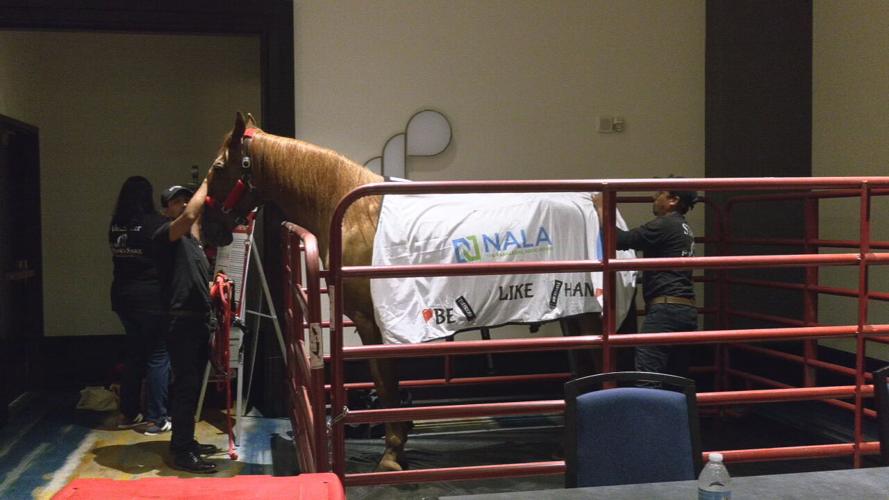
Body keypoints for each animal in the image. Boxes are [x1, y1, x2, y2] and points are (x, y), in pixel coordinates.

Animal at [201, 112, 635, 472]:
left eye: (219, 167)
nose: (208, 231)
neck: (349, 212)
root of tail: (595, 201)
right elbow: (387, 386)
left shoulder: (371, 325)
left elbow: (386, 385)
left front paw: (393, 453)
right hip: (574, 315)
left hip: (588, 315)